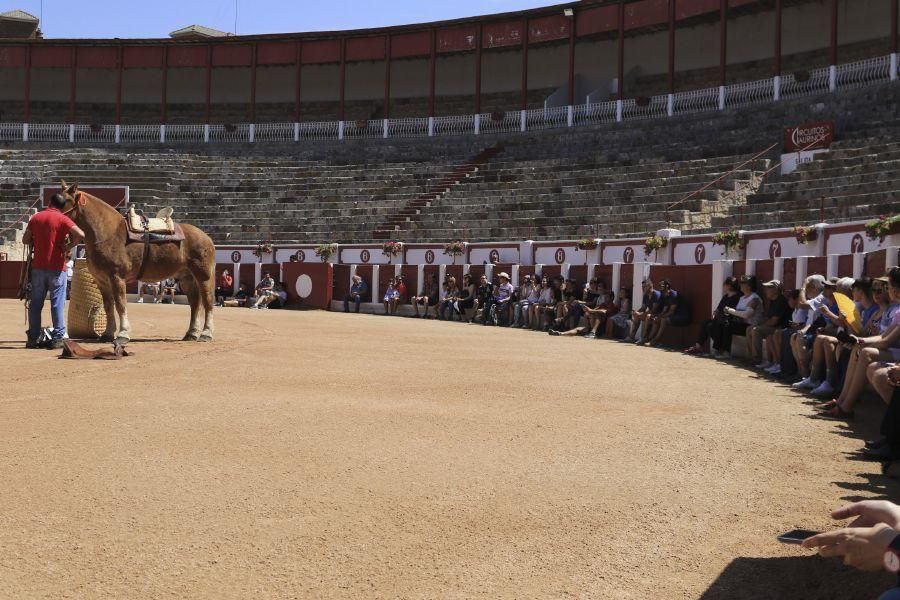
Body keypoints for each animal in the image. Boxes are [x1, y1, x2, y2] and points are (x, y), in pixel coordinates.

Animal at [59, 182, 217, 342]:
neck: (109, 233)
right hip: (187, 278)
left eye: (63, 201)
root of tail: (206, 237)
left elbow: (120, 305)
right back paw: (192, 333)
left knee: (208, 302)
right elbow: (109, 306)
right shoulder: (102, 281)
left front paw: (123, 334)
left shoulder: (117, 278)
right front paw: (108, 333)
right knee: (195, 303)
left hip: (203, 277)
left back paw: (206, 333)